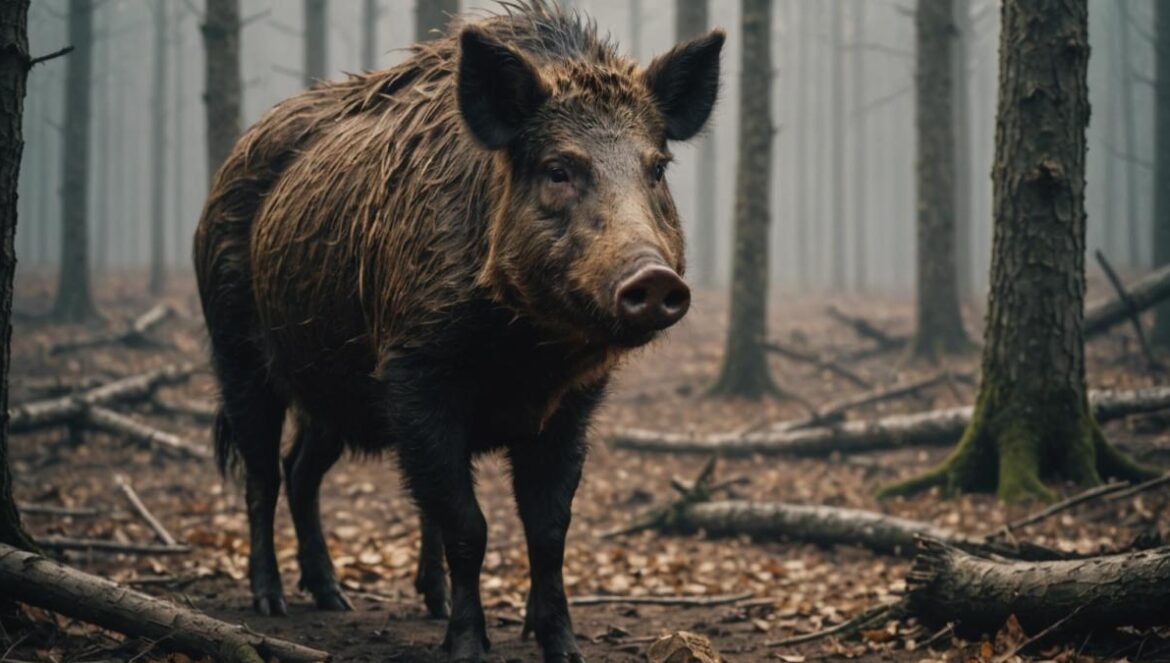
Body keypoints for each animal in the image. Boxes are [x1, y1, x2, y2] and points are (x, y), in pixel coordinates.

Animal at [193, 2, 723, 661]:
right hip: (235, 349)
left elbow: (549, 530)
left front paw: (561, 648)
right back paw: (272, 603)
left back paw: (338, 598)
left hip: (335, 389)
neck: (526, 349)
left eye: (657, 169)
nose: (653, 277)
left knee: (301, 470)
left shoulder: (574, 401)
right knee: (262, 473)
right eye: (557, 169)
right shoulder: (414, 372)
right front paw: (468, 646)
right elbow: (468, 525)